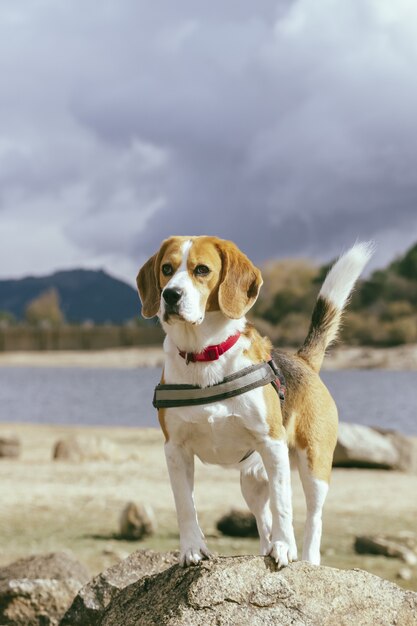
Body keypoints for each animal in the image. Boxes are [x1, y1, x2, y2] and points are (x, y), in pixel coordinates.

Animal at [136, 234, 370, 564]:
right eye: (166, 269)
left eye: (202, 270)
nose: (170, 295)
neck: (205, 354)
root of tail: (302, 359)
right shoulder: (175, 449)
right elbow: (185, 505)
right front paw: (192, 548)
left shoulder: (272, 443)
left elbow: (283, 504)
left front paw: (283, 547)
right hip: (252, 480)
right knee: (263, 518)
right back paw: (265, 548)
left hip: (313, 463)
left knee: (313, 515)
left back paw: (306, 557)